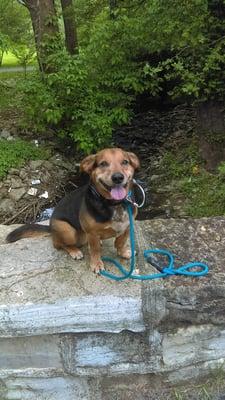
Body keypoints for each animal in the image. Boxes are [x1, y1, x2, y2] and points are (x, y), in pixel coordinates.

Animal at [6, 148, 140, 274]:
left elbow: (120, 242)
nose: (118, 177)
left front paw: (123, 253)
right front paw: (96, 264)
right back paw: (74, 251)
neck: (115, 204)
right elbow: (95, 250)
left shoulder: (127, 227)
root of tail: (51, 228)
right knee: (59, 244)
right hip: (67, 231)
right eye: (103, 164)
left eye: (125, 162)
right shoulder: (92, 233)